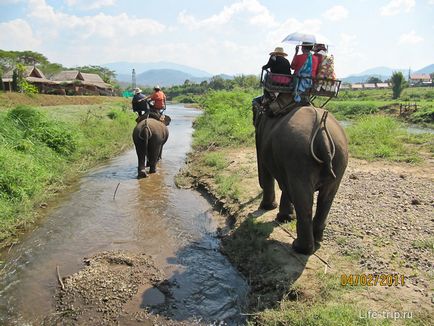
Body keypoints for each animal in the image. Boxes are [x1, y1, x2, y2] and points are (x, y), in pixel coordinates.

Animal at [251, 102, 350, 255]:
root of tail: (322, 132)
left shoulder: (262, 137)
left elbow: (266, 171)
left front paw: (267, 208)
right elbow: (285, 185)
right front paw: (285, 218)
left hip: (299, 158)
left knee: (303, 200)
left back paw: (300, 248)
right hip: (340, 157)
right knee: (326, 197)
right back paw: (317, 240)